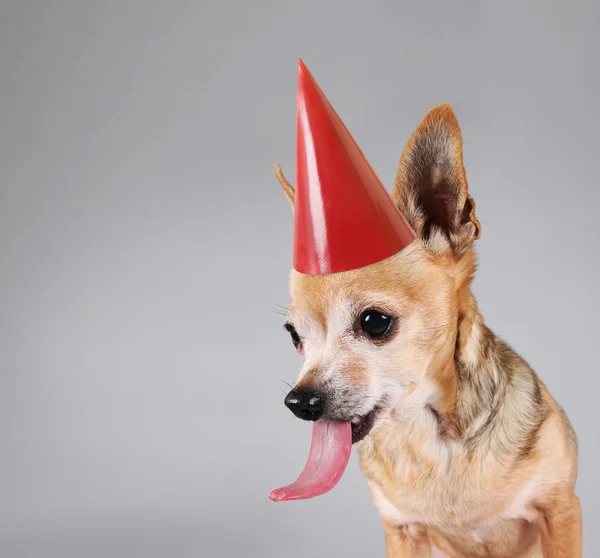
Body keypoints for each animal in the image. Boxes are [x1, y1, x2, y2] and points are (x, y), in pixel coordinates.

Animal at [272, 101, 580, 558]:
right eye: (294, 336)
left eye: (375, 322)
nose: (299, 402)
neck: (430, 437)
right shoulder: (403, 531)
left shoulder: (560, 510)